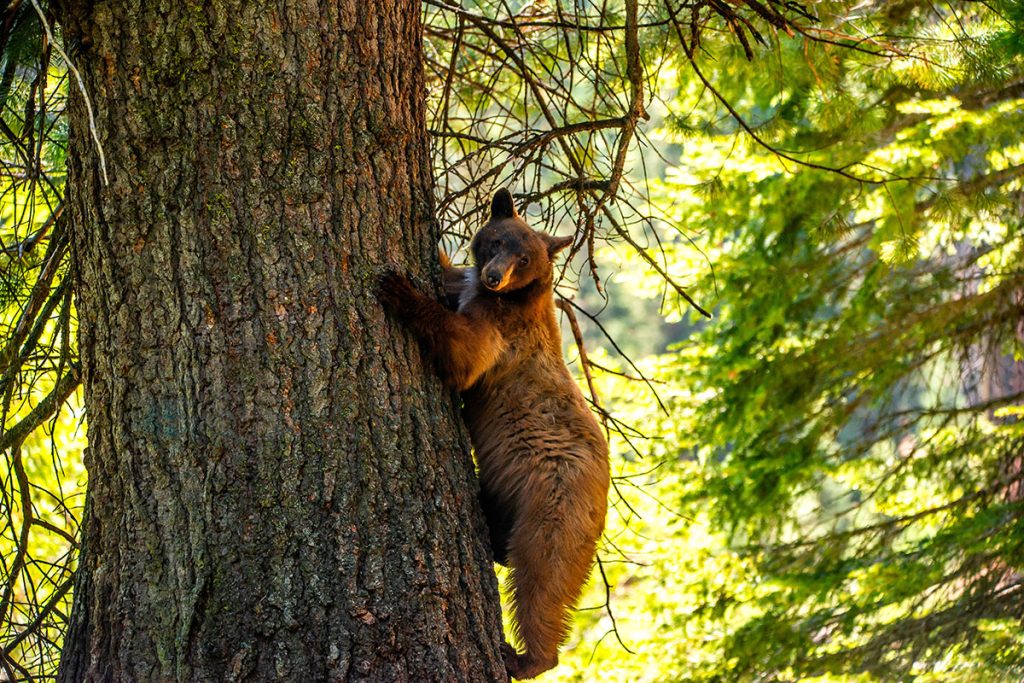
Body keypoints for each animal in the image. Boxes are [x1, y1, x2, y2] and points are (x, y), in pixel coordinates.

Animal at [382, 187, 606, 679]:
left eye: (523, 259)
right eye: (498, 242)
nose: (494, 276)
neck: (513, 299)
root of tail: (603, 501)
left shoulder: (503, 331)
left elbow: (465, 354)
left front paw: (397, 288)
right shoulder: (469, 290)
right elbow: (450, 278)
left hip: (552, 507)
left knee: (541, 580)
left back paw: (525, 657)